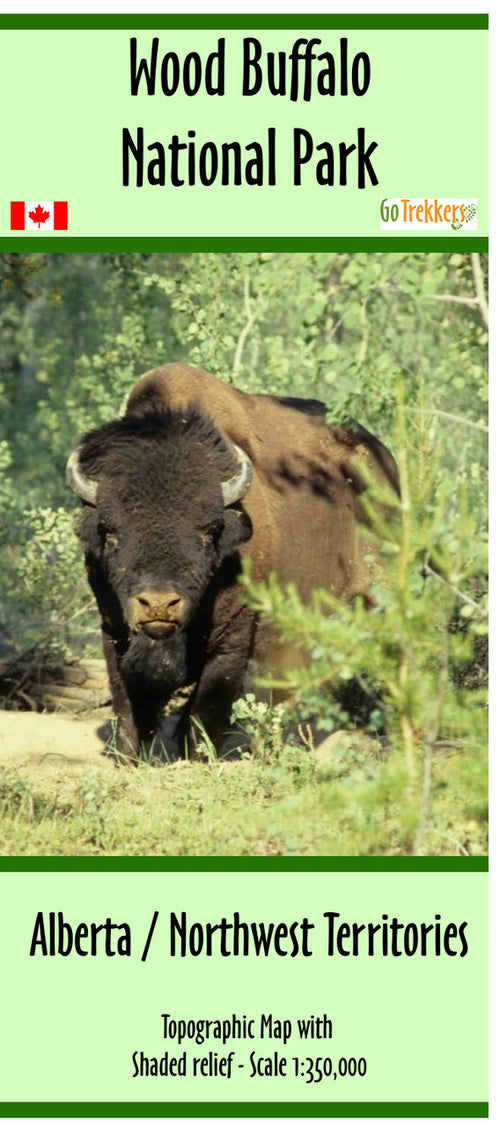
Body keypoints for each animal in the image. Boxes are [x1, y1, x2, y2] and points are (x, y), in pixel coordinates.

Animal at [67, 363, 398, 759]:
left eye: (209, 531)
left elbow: (206, 708)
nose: (159, 604)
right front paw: (129, 757)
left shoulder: (231, 639)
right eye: (109, 530)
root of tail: (385, 463)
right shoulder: (112, 630)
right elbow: (128, 704)